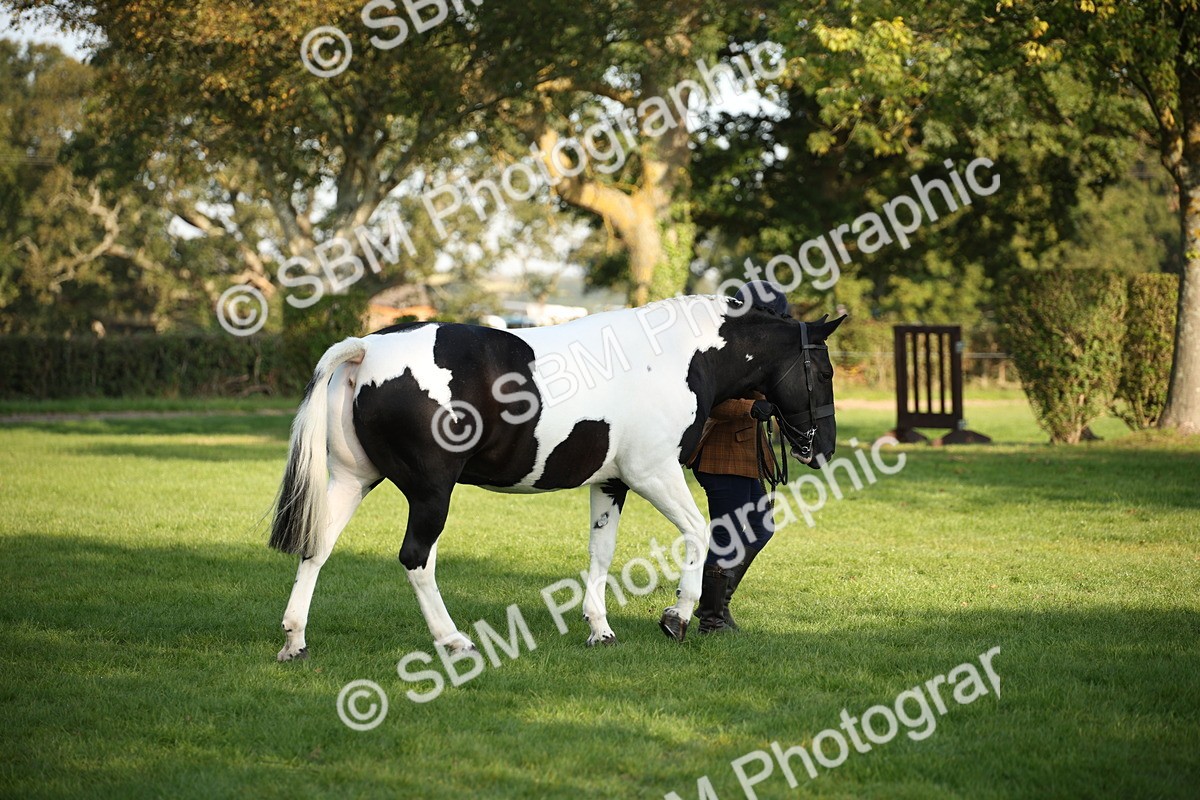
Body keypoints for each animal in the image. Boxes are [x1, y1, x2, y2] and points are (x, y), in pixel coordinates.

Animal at [268, 293, 844, 660]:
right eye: (824, 371)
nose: (824, 448)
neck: (677, 356)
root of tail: (367, 349)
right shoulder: (653, 474)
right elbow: (699, 532)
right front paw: (676, 618)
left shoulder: (611, 483)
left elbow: (601, 554)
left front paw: (600, 630)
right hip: (431, 492)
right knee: (417, 559)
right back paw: (454, 641)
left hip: (352, 480)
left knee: (317, 547)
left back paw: (295, 641)